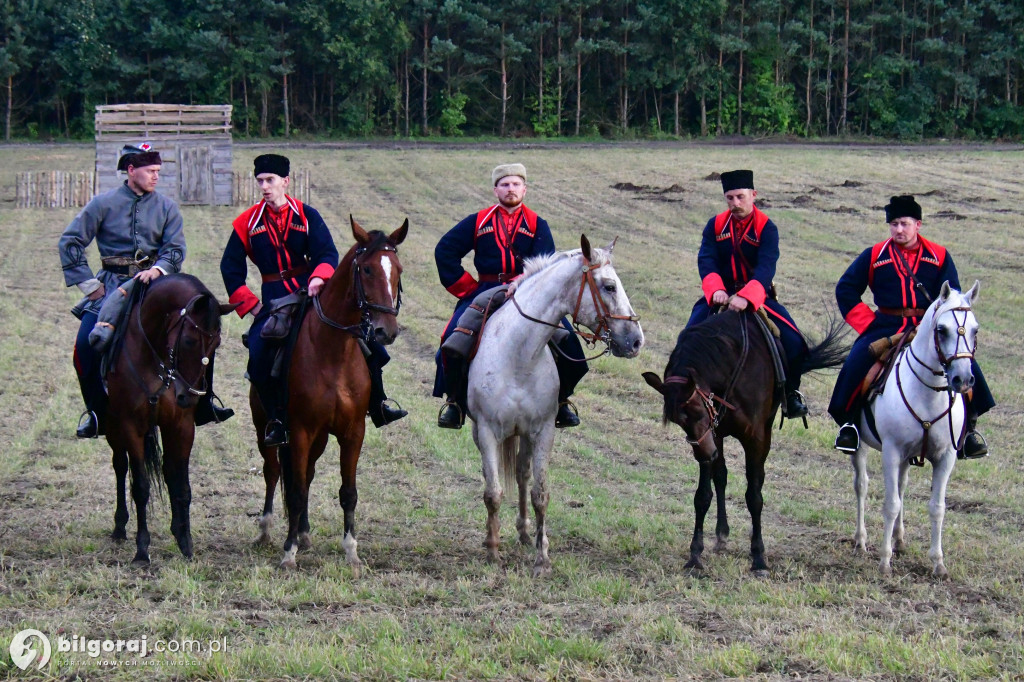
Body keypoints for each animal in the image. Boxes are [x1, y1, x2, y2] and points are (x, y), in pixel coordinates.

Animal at [106, 270, 237, 561]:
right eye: (188, 340)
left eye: (216, 344)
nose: (189, 397)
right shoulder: (131, 426)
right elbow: (141, 487)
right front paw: (142, 550)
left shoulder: (181, 426)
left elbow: (181, 484)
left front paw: (185, 542)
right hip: (113, 429)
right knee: (120, 466)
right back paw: (119, 527)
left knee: (165, 471)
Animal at [253, 218, 405, 569]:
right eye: (366, 269)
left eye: (398, 270)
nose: (386, 331)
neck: (333, 351)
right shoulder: (299, 431)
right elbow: (294, 491)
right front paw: (288, 553)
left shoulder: (353, 432)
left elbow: (347, 492)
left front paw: (351, 552)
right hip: (266, 428)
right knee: (273, 472)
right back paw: (267, 530)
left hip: (320, 438)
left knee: (306, 474)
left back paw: (304, 533)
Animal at [468, 232, 643, 573]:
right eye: (609, 286)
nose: (636, 340)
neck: (519, 355)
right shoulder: (487, 431)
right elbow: (493, 493)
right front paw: (493, 552)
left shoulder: (543, 431)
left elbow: (540, 494)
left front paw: (542, 557)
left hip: (523, 434)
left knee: (522, 474)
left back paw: (524, 532)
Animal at [638, 309, 847, 573]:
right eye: (678, 421)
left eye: (697, 412)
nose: (706, 454)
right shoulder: (713, 434)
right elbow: (703, 494)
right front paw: (695, 556)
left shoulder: (755, 438)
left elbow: (754, 496)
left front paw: (758, 557)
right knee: (721, 477)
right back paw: (721, 534)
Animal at [851, 278, 978, 577]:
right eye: (942, 330)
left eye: (975, 329)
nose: (963, 379)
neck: (928, 394)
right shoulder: (891, 452)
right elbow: (890, 504)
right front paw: (885, 561)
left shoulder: (946, 457)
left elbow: (937, 507)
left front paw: (938, 562)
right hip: (860, 445)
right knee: (862, 485)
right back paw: (861, 540)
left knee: (902, 485)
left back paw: (899, 539)